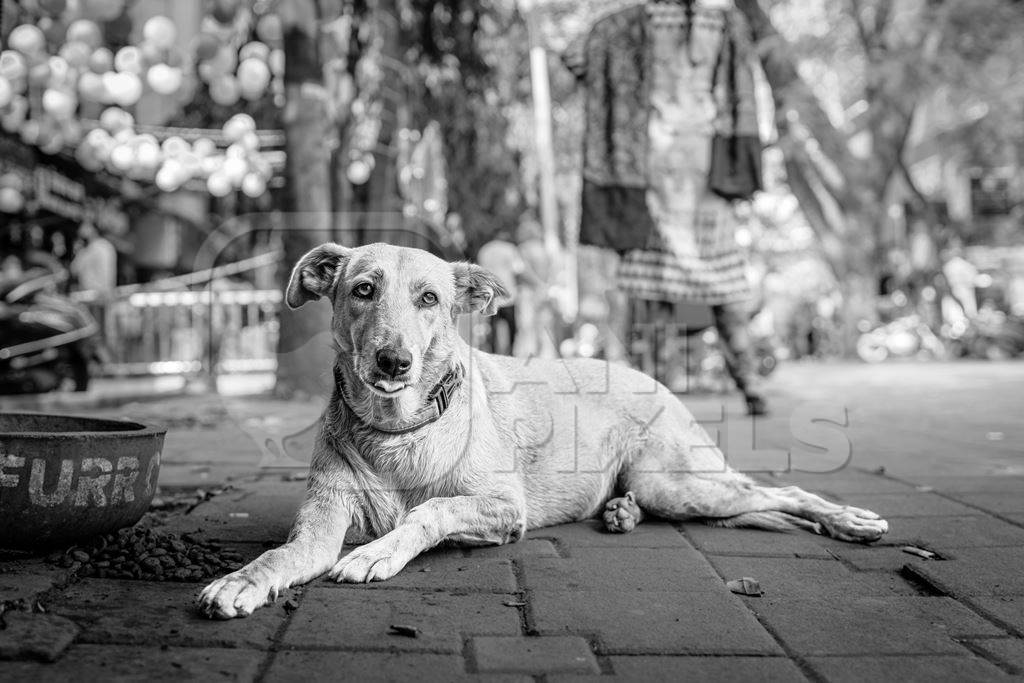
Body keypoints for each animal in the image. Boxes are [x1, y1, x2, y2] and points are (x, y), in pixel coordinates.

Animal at [199, 244, 888, 618]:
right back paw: (621, 513)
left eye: (429, 299)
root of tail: (652, 376)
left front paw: (376, 551)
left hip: (678, 480)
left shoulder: (504, 508)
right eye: (362, 290)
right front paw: (242, 580)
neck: (399, 434)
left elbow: (430, 511)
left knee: (781, 493)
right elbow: (280, 555)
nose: (393, 362)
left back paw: (849, 520)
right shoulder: (319, 528)